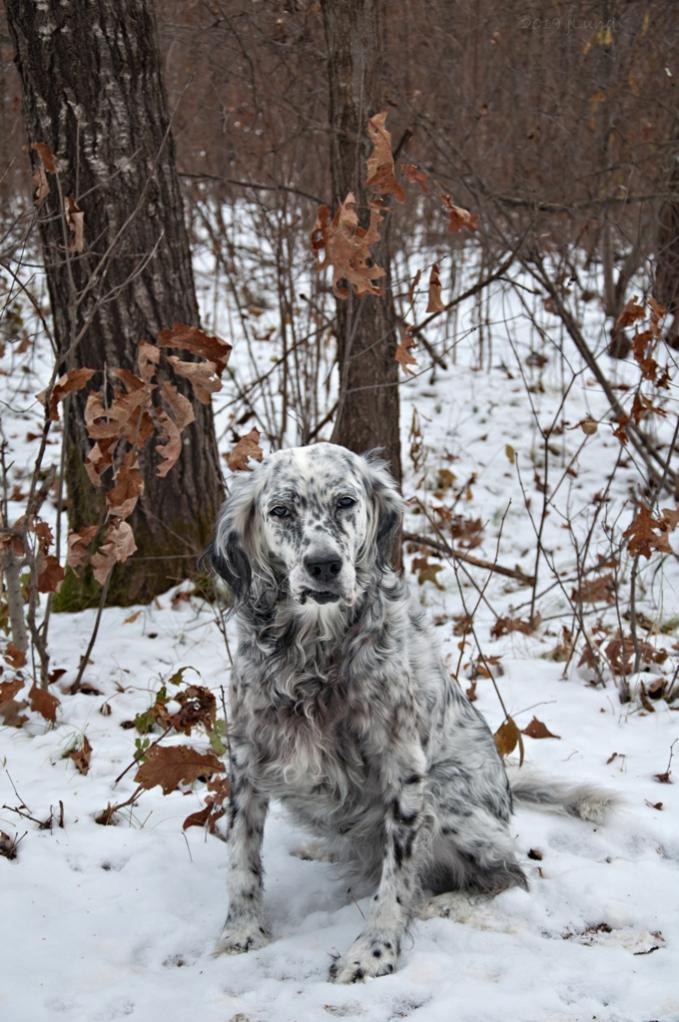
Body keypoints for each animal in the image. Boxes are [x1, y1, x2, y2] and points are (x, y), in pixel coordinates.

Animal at [208, 441, 613, 981]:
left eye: (345, 502)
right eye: (280, 511)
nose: (324, 565)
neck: (314, 653)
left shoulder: (404, 774)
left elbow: (397, 882)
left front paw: (374, 951)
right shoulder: (246, 759)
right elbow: (240, 860)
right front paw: (240, 932)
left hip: (446, 798)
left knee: (511, 874)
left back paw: (447, 903)